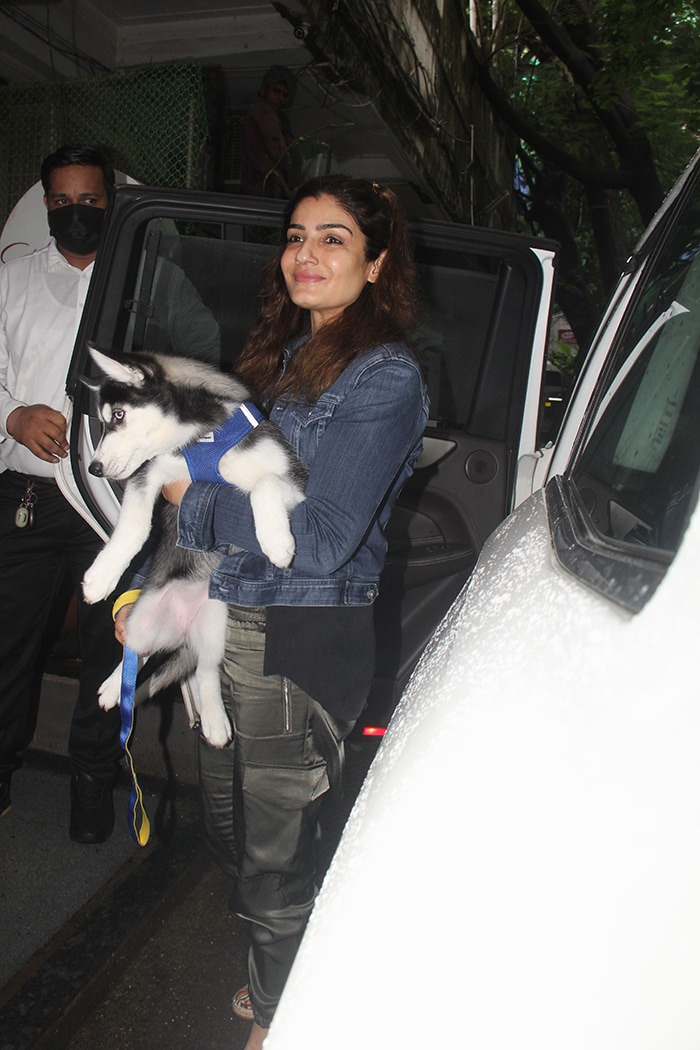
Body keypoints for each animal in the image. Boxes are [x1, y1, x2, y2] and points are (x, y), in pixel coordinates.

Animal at [80, 346, 304, 747]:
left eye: (118, 415)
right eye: (104, 420)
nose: (95, 468)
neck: (204, 438)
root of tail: (181, 630)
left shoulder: (292, 478)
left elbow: (265, 486)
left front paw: (277, 542)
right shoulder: (151, 473)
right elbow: (135, 526)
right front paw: (102, 576)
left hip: (216, 624)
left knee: (206, 670)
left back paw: (215, 720)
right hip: (143, 618)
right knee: (136, 650)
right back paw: (113, 687)